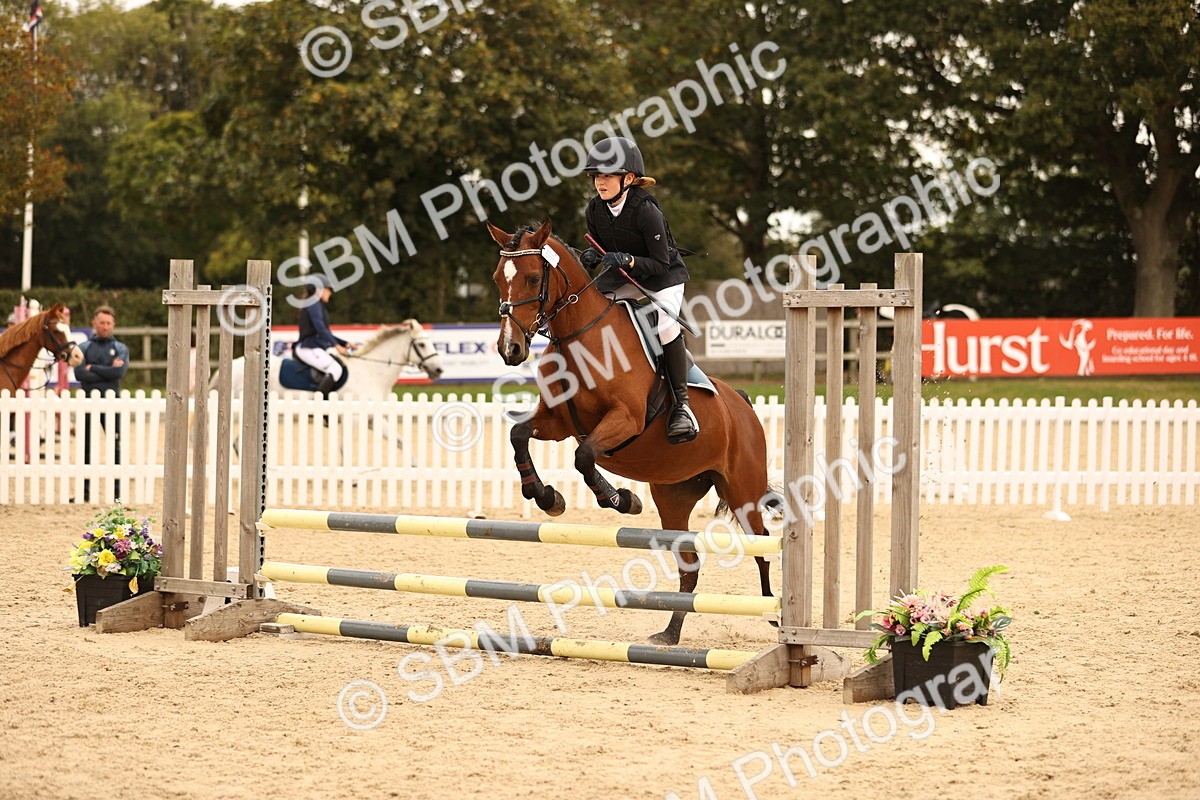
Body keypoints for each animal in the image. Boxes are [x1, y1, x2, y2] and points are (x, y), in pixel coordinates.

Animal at [486, 219, 775, 646]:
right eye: (497, 278)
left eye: (533, 278)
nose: (510, 349)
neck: (581, 338)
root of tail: (742, 405)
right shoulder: (557, 422)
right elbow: (519, 436)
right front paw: (546, 497)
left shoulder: (625, 420)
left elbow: (584, 457)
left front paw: (620, 499)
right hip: (675, 496)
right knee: (689, 565)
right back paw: (669, 634)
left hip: (744, 491)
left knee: (762, 544)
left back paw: (775, 614)